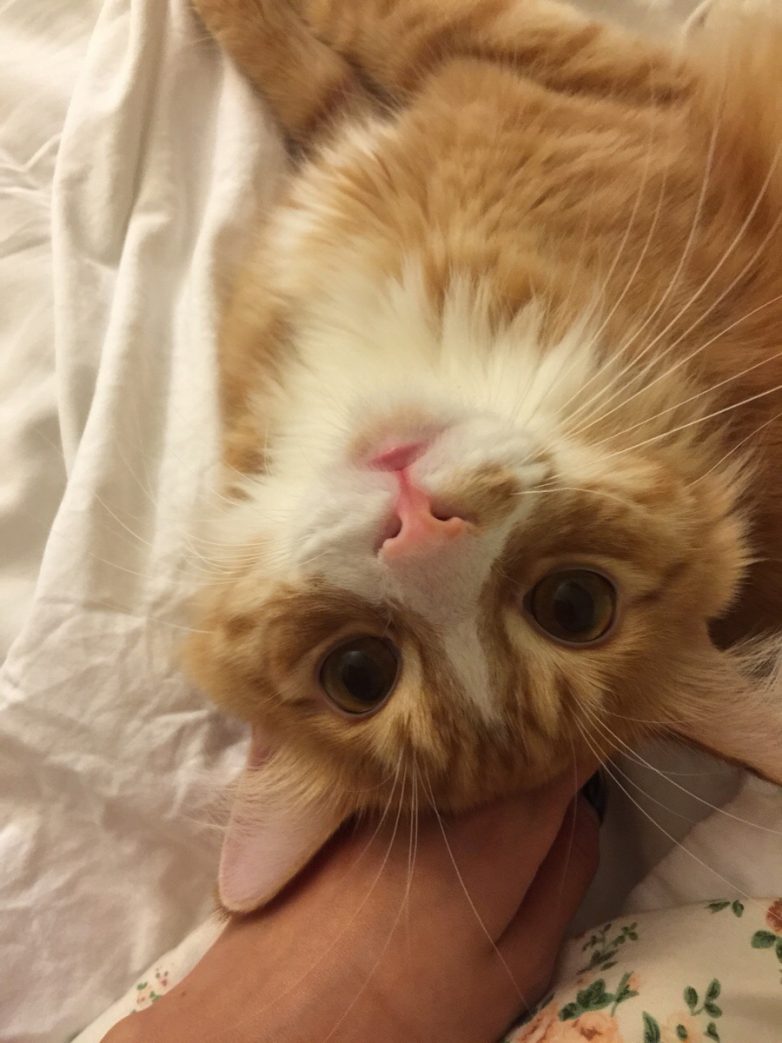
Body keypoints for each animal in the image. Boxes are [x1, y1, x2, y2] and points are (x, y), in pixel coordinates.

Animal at [186, 0, 782, 913]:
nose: (419, 529)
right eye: (359, 672)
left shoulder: (529, 65)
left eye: (573, 604)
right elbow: (319, 77)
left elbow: (364, 31)